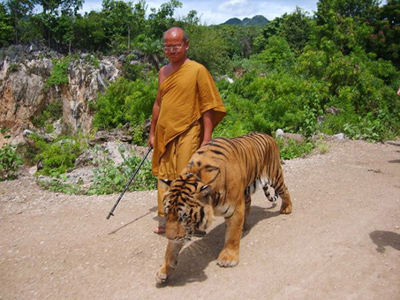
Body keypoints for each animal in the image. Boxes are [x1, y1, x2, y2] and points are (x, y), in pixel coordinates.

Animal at [155, 132, 290, 284]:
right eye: (167, 213)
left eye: (184, 216)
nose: (168, 236)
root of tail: (268, 135)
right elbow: (171, 249)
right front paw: (165, 269)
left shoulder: (235, 208)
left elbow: (232, 235)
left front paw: (228, 258)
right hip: (247, 190)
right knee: (249, 204)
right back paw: (245, 226)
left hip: (274, 176)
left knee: (285, 190)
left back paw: (287, 208)